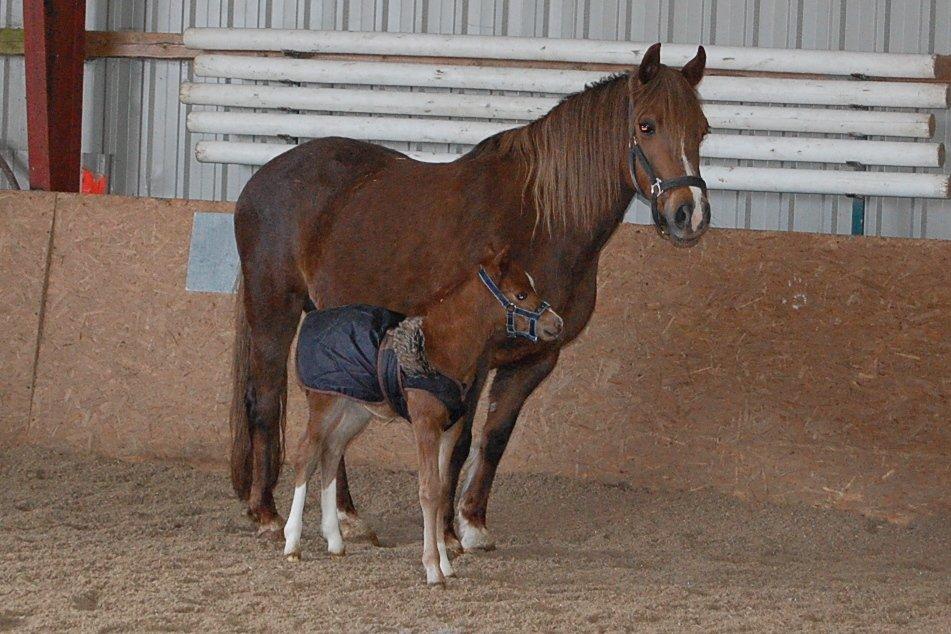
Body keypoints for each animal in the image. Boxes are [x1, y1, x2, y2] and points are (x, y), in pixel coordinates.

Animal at [230, 42, 710, 550]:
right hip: (272, 313)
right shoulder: (470, 363)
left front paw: (472, 522)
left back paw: (347, 516)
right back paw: (265, 512)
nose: (690, 214)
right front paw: (445, 533)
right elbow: (457, 445)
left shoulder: (535, 360)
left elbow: (495, 438)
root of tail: (263, 178)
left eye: (702, 129)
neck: (537, 224)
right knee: (264, 400)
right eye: (647, 125)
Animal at [282, 250, 562, 585]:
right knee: (307, 453)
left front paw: (446, 564)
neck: (440, 348)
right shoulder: (425, 424)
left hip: (353, 411)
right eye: (520, 294)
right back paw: (292, 543)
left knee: (332, 451)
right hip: (323, 404)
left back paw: (335, 542)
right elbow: (428, 490)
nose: (556, 323)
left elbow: (442, 490)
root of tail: (312, 319)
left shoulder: (449, 428)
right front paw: (432, 569)